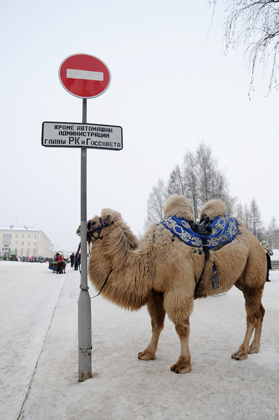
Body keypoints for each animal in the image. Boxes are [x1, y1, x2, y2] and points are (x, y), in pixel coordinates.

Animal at [78, 194, 266, 374]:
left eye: (92, 222)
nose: (79, 228)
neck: (148, 257)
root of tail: (256, 241)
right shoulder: (155, 292)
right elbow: (156, 324)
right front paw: (147, 353)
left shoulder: (178, 287)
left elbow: (181, 327)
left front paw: (183, 364)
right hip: (244, 280)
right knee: (260, 311)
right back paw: (254, 347)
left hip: (253, 274)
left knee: (251, 315)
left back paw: (241, 352)